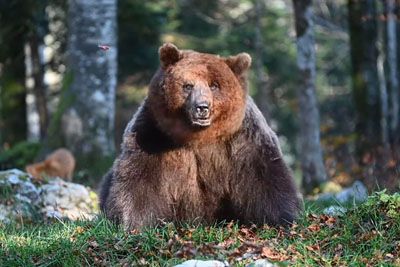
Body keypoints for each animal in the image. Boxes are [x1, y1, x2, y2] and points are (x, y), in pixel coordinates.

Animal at [100, 44, 300, 230]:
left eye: (214, 85)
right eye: (188, 86)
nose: (202, 107)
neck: (199, 136)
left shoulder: (243, 139)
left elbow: (264, 178)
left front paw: (283, 220)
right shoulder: (153, 134)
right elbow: (140, 180)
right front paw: (131, 223)